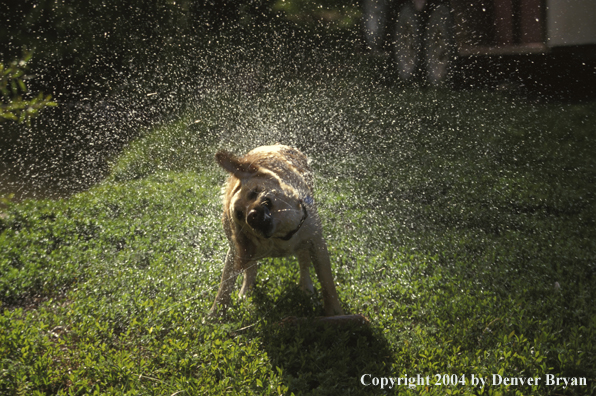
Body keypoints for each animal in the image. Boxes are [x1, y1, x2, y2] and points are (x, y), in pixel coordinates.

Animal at [210, 145, 342, 316]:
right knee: (251, 270)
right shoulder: (237, 252)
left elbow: (327, 282)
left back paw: (306, 288)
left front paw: (334, 311)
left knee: (304, 263)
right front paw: (214, 314)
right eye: (239, 214)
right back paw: (246, 293)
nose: (251, 216)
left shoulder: (316, 243)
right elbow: (224, 286)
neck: (282, 234)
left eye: (254, 193)